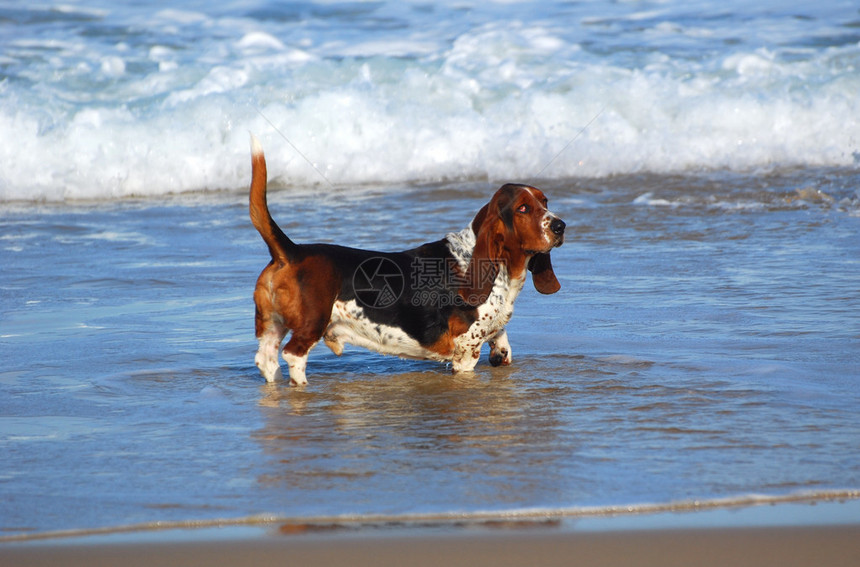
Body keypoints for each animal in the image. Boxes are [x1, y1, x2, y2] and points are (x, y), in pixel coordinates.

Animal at [249, 136, 564, 386]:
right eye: (523, 208)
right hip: (311, 324)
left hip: (271, 325)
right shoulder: (466, 351)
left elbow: (502, 341)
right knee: (293, 356)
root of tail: (292, 251)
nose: (561, 226)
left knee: (266, 359)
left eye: (545, 202)